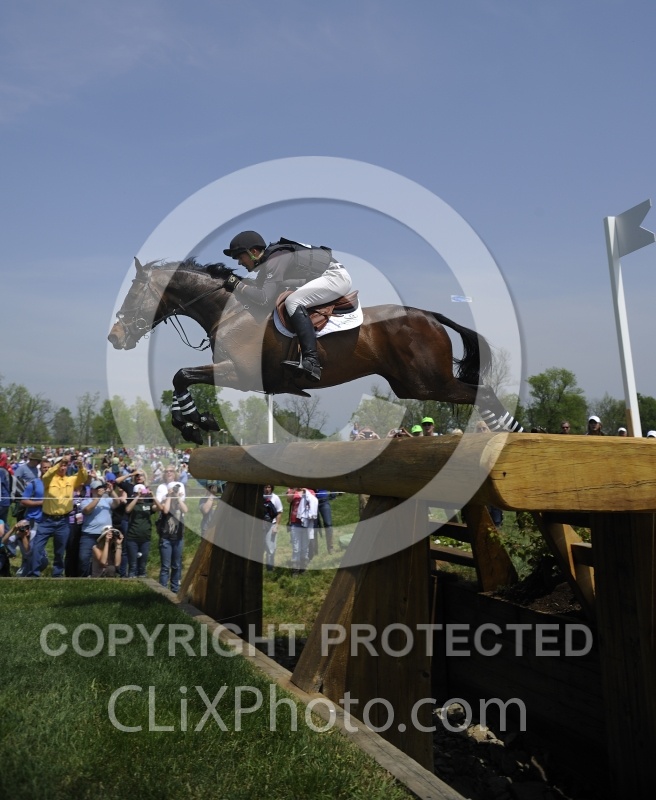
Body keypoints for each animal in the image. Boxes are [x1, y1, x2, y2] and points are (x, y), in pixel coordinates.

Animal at [108, 258, 523, 443]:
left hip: (428, 382)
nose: (114, 336)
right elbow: (182, 377)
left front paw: (193, 424)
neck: (231, 310)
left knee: (482, 391)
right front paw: (196, 423)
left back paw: (516, 434)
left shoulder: (239, 373)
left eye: (134, 294)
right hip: (411, 385)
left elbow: (181, 375)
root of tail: (429, 315)